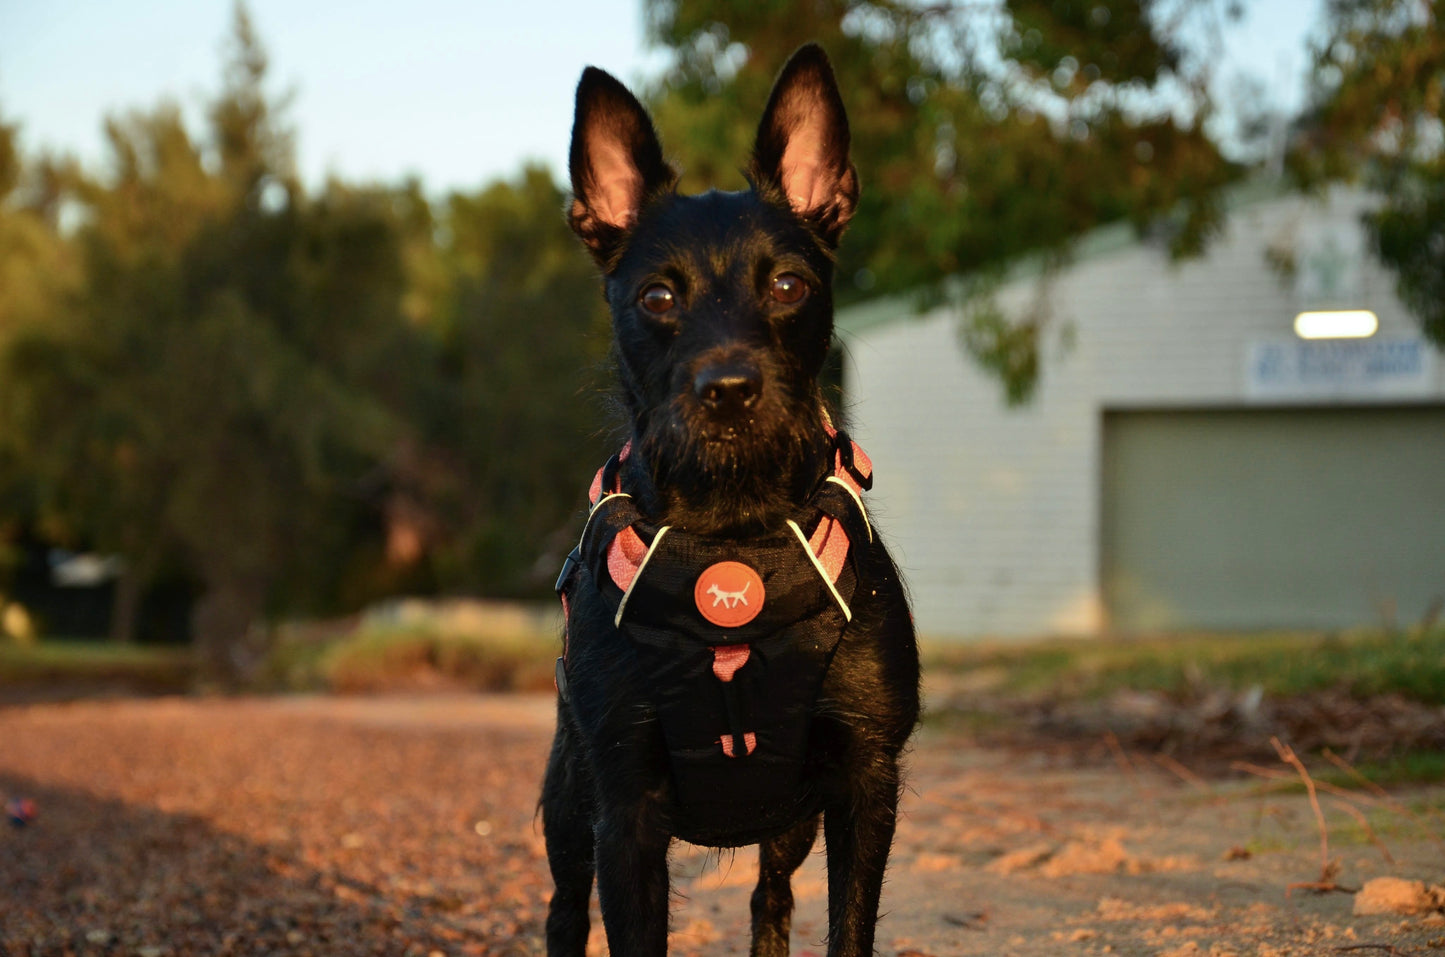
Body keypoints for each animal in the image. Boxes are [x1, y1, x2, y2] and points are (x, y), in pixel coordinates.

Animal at [543, 43, 913, 957]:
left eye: (786, 285)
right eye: (657, 297)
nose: (730, 390)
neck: (731, 536)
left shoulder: (865, 780)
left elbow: (847, 928)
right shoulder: (623, 811)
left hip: (790, 820)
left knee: (769, 897)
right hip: (567, 806)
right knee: (563, 912)